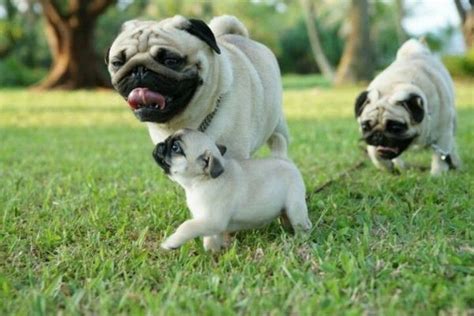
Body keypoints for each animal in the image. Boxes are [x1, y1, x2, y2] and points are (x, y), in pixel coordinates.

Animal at [154, 129, 312, 252]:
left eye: (175, 148)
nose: (160, 144)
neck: (201, 182)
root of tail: (282, 157)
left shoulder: (212, 221)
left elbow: (187, 226)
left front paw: (172, 242)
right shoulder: (208, 223)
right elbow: (210, 237)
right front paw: (212, 252)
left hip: (295, 207)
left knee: (303, 226)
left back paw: (298, 240)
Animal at [356, 39, 460, 175]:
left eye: (396, 128)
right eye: (365, 127)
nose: (378, 135)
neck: (393, 86)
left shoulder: (443, 134)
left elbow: (440, 157)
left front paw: (437, 174)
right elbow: (374, 154)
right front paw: (385, 167)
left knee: (451, 146)